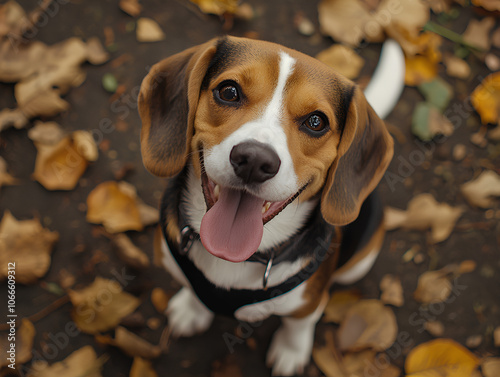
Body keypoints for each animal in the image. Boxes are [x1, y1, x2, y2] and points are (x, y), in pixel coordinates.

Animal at [139, 36, 404, 376]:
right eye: (229, 91)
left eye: (316, 121)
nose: (254, 160)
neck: (237, 258)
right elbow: (195, 294)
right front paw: (191, 308)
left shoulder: (307, 304)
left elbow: (298, 326)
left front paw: (291, 352)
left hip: (359, 264)